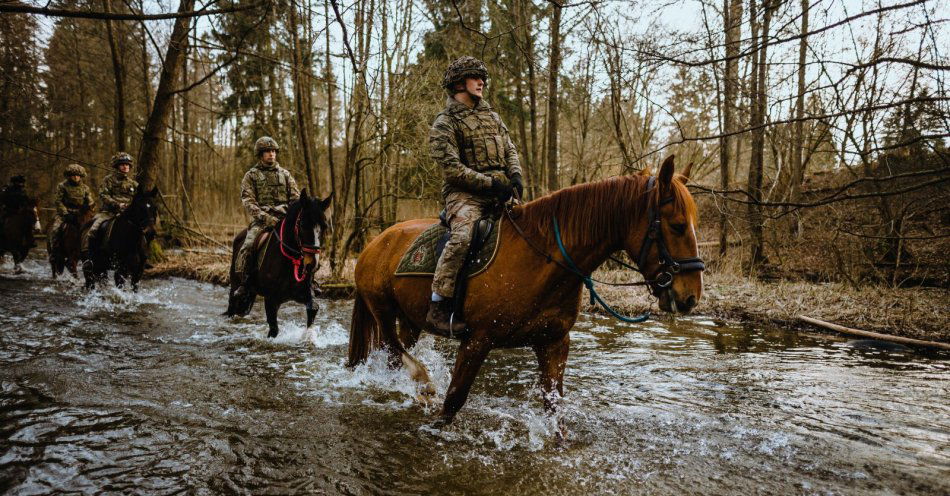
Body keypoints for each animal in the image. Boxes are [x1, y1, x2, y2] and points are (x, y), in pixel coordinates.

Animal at [227, 189, 334, 338]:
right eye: (303, 225)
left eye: (324, 227)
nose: (312, 264)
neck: (290, 260)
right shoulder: (271, 300)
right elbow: (274, 329)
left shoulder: (303, 294)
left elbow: (312, 310)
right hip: (236, 288)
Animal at [350, 156, 708, 426]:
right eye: (677, 225)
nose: (690, 296)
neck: (541, 259)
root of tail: (374, 244)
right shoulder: (477, 340)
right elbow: (453, 401)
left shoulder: (553, 343)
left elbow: (554, 410)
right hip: (382, 310)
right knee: (393, 351)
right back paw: (422, 383)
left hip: (410, 320)